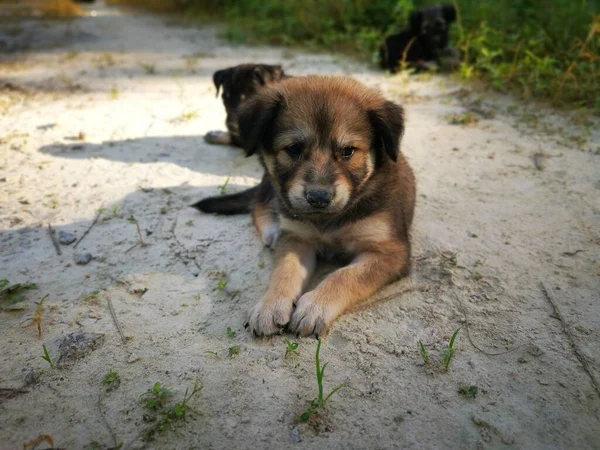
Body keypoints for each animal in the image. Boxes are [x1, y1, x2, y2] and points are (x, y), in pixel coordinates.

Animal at [192, 76, 412, 338]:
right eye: (294, 149)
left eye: (348, 151)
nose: (318, 197)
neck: (328, 219)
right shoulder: (297, 237)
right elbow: (285, 270)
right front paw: (270, 305)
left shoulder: (389, 252)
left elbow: (346, 275)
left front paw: (316, 305)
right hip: (271, 185)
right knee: (259, 202)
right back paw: (272, 230)